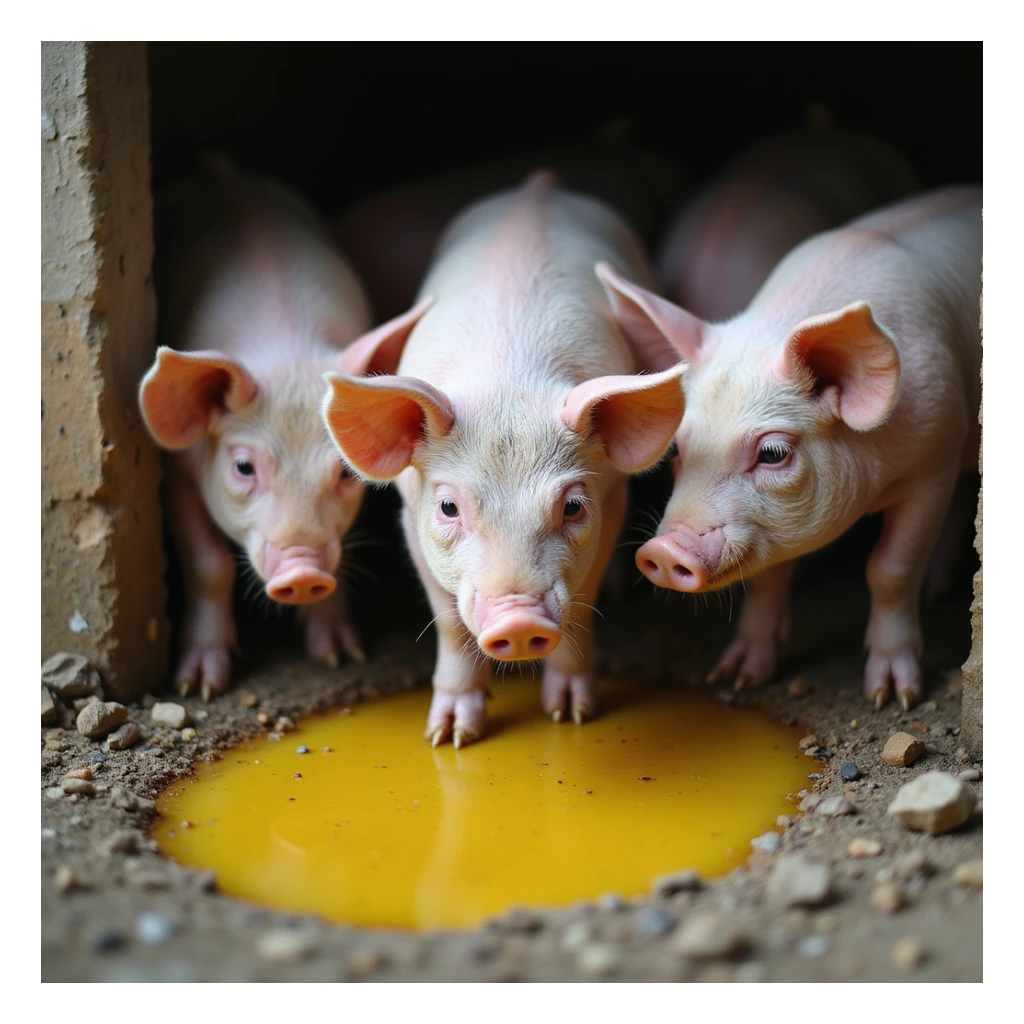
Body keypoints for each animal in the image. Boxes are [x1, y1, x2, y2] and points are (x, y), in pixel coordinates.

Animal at [138, 160, 381, 699]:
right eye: (244, 467)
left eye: (345, 473)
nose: (303, 570)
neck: (284, 343)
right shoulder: (177, 469)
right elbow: (209, 563)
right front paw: (198, 686)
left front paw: (341, 656)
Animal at [322, 172, 685, 747]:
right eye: (448, 507)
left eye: (573, 507)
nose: (519, 623)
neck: (506, 379)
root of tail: (540, 185)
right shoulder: (410, 515)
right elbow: (450, 623)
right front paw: (448, 737)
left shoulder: (613, 495)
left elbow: (580, 606)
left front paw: (572, 715)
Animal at [597, 186, 981, 711]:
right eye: (676, 450)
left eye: (774, 454)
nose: (662, 549)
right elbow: (766, 577)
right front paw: (738, 677)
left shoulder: (933, 461)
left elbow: (890, 568)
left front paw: (891, 696)